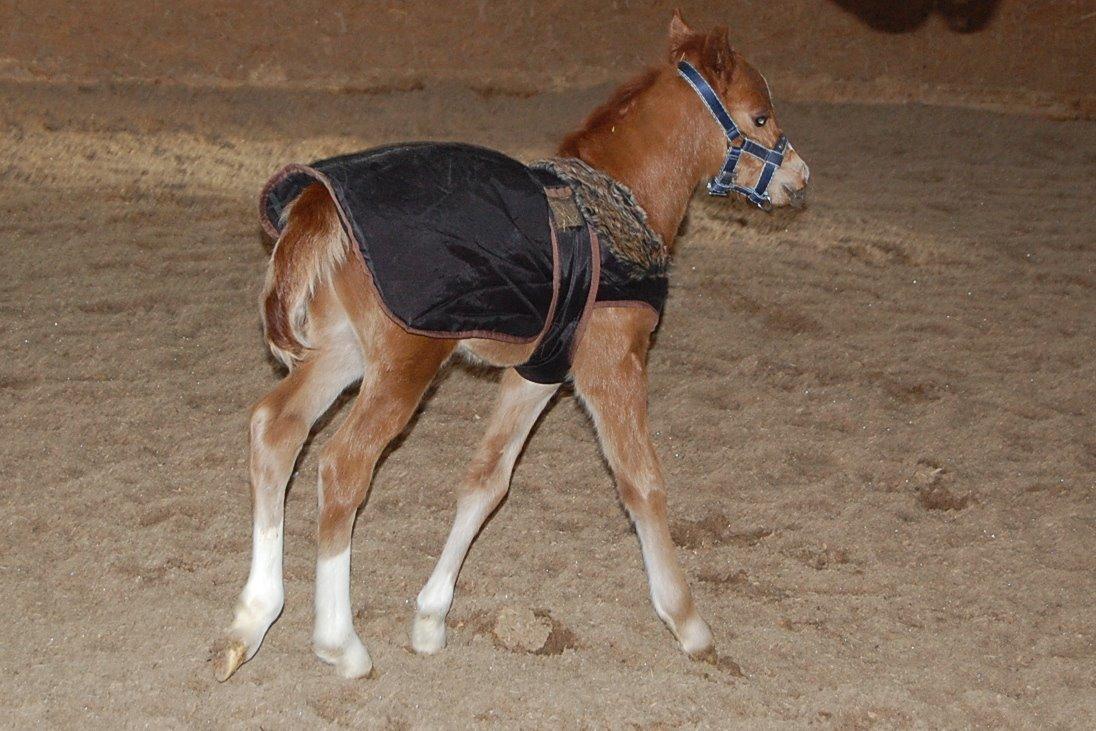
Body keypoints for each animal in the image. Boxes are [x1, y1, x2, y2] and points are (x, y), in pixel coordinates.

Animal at [212, 11, 810, 681]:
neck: (617, 206)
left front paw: (430, 620)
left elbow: (487, 479)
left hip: (342, 351)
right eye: (759, 117)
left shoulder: (540, 370)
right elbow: (641, 480)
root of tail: (317, 200)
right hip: (405, 362)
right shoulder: (611, 362)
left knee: (276, 428)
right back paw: (340, 643)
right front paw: (690, 624)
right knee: (343, 465)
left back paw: (250, 621)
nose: (799, 178)